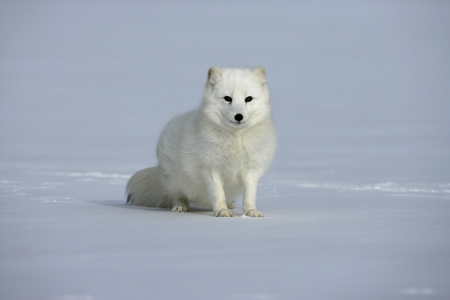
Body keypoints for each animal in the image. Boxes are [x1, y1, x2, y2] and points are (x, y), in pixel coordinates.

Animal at [125, 65, 276, 217]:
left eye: (248, 99)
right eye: (227, 98)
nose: (239, 116)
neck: (235, 139)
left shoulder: (251, 168)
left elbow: (250, 195)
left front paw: (251, 211)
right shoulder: (210, 168)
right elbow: (218, 194)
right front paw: (221, 211)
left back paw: (230, 204)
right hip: (175, 180)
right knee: (177, 195)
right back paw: (181, 207)